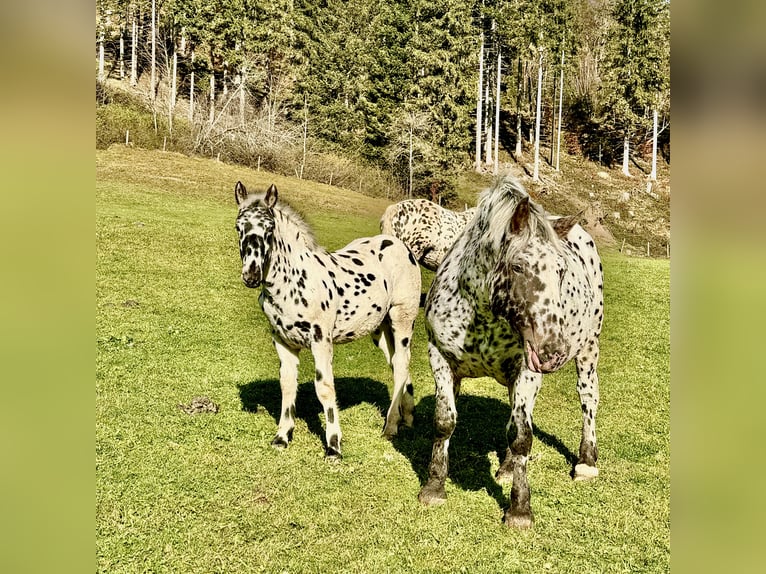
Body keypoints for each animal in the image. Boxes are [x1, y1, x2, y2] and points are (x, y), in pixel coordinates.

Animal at [237, 182, 424, 462]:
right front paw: (282, 437)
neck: (294, 280)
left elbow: (324, 387)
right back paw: (408, 417)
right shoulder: (282, 341)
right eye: (238, 226)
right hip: (380, 331)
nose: (251, 274)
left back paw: (390, 427)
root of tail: (400, 245)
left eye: (269, 228)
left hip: (402, 319)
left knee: (401, 366)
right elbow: (287, 385)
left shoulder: (320, 340)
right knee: (398, 364)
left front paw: (333, 446)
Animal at [420, 177, 608, 532]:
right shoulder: (440, 358)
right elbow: (444, 421)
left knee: (588, 399)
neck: (482, 314)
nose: (553, 351)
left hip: (588, 350)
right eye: (518, 266)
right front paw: (434, 487)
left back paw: (586, 462)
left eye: (561, 271)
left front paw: (520, 510)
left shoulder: (527, 370)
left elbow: (522, 437)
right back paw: (507, 468)